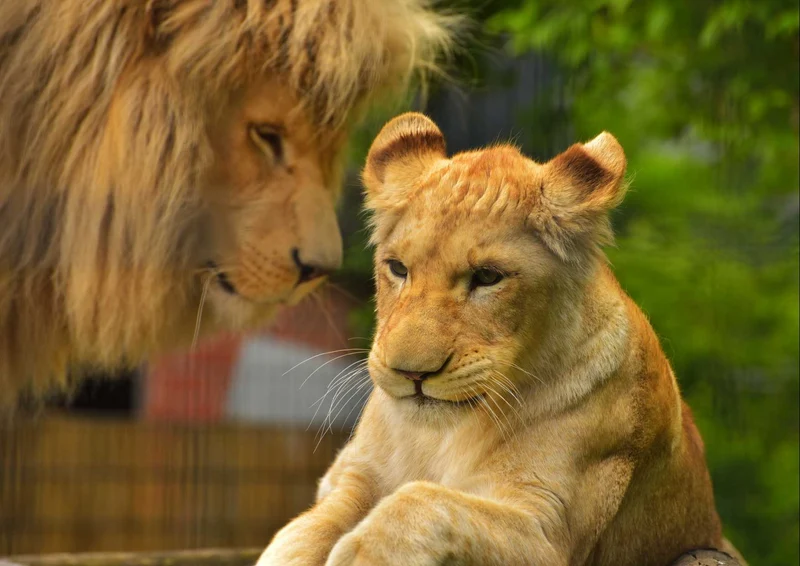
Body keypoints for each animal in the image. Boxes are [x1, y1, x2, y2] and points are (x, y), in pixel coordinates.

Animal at [256, 113, 748, 566]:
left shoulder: (549, 528)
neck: (442, 436)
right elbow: (303, 530)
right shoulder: (352, 475)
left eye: (488, 277)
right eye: (397, 268)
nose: (411, 373)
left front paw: (364, 554)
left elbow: (424, 501)